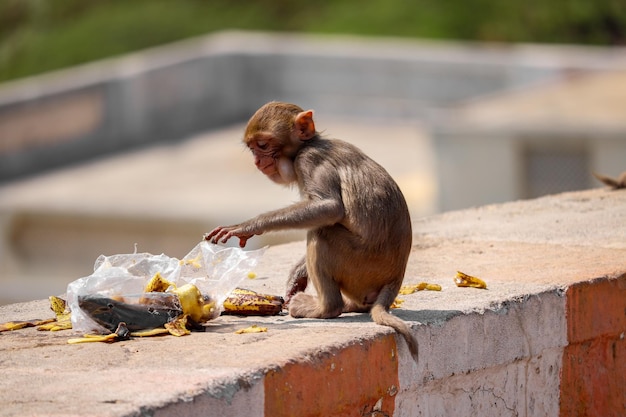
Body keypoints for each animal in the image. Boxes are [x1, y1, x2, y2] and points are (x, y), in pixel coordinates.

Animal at [205, 101, 416, 360]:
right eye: (253, 148)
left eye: (263, 145)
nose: (257, 162)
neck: (308, 145)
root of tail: (396, 278)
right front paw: (298, 275)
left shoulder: (308, 160)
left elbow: (329, 207)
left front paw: (251, 225)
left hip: (362, 266)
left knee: (322, 233)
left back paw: (326, 308)